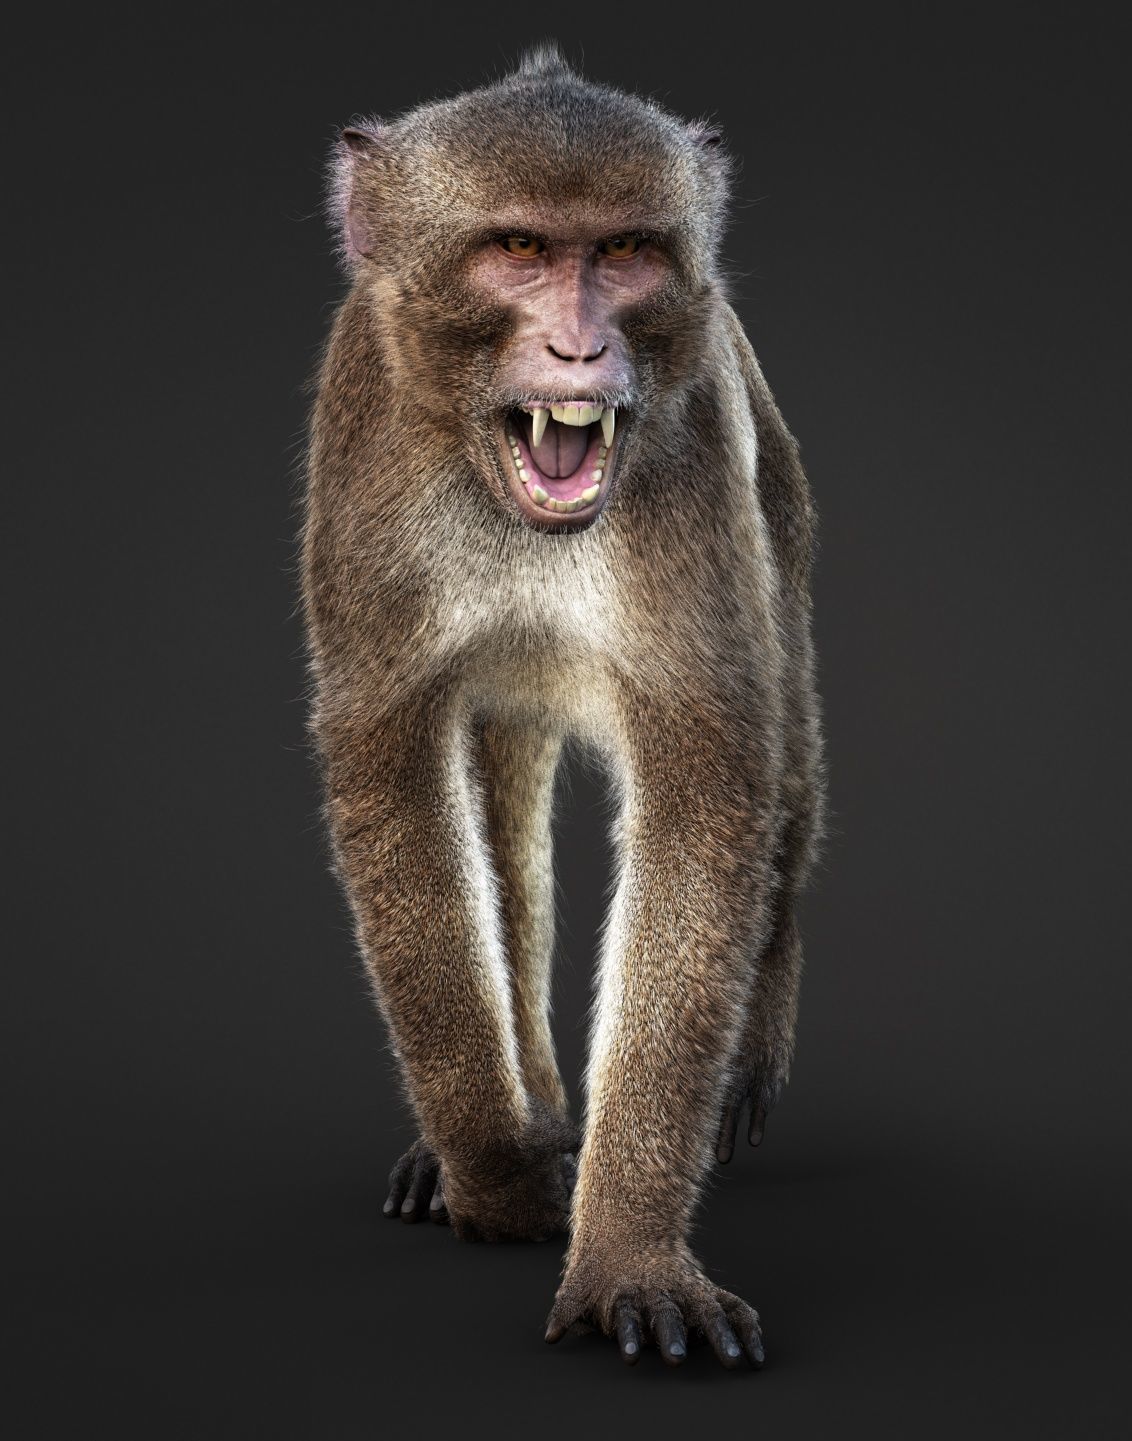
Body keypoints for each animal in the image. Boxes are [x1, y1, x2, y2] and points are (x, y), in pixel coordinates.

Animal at [300, 44, 823, 1369]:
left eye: (625, 252)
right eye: (520, 251)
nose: (584, 354)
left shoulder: (695, 456)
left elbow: (709, 793)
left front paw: (626, 1251)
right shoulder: (363, 440)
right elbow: (396, 780)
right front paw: (494, 1169)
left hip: (781, 503)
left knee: (788, 768)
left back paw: (752, 1042)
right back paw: (518, 1106)